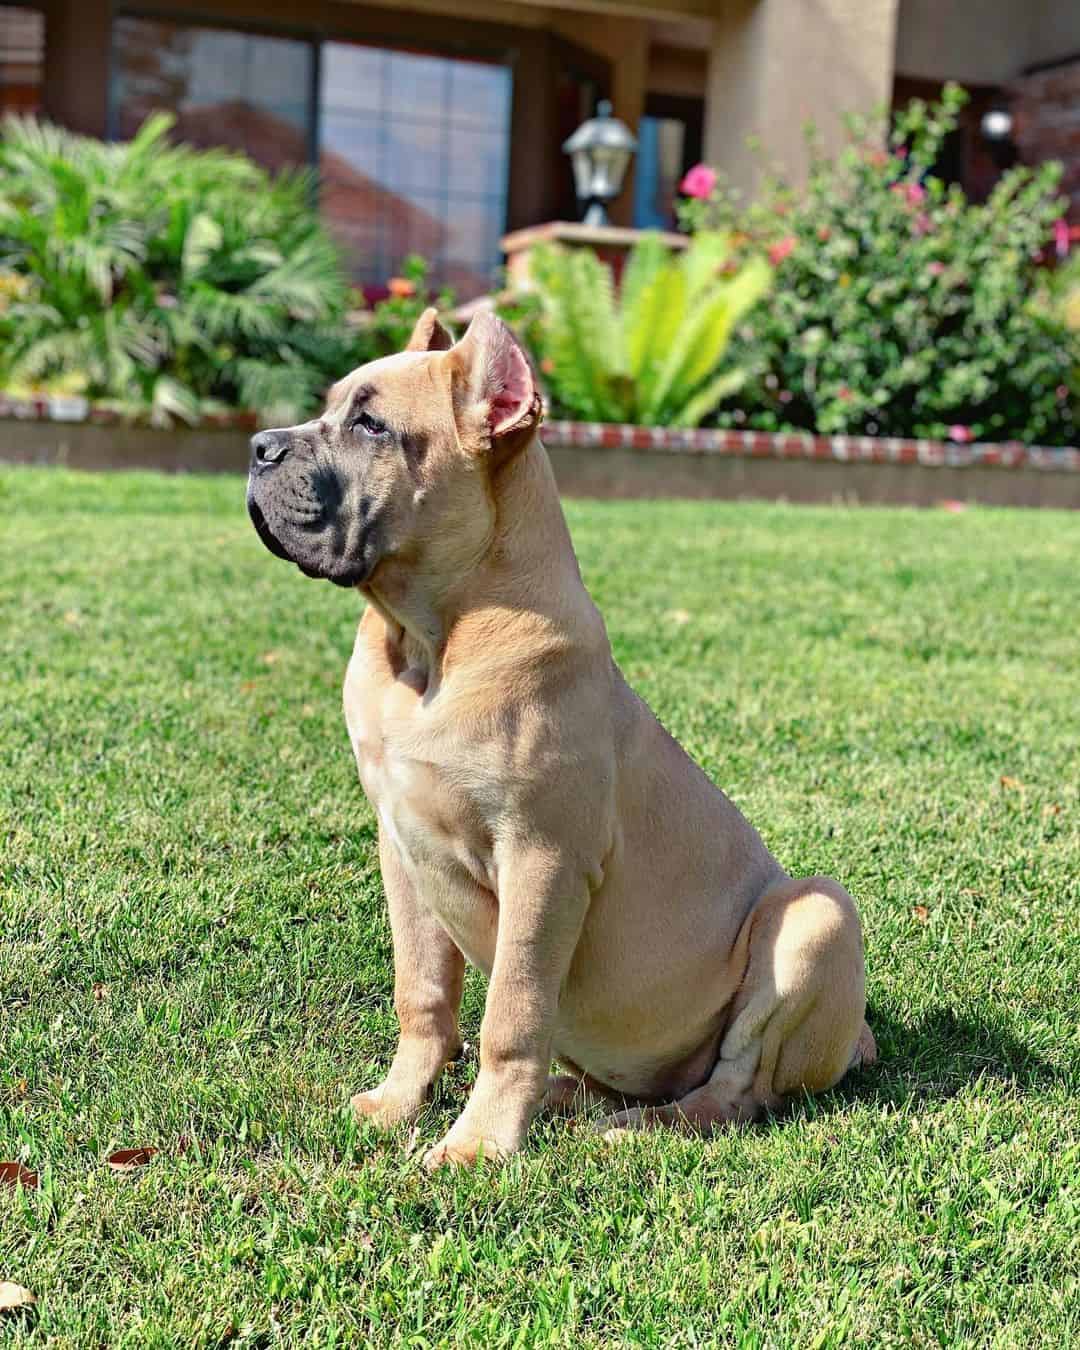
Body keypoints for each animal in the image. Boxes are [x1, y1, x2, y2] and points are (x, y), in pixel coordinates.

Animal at [247, 310, 874, 1166]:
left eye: (372, 426)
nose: (259, 447)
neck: (430, 645)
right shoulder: (402, 849)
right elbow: (423, 994)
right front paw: (399, 1103)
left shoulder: (541, 859)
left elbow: (510, 1015)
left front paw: (478, 1146)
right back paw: (569, 1098)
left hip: (818, 916)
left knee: (732, 1094)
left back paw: (641, 1129)